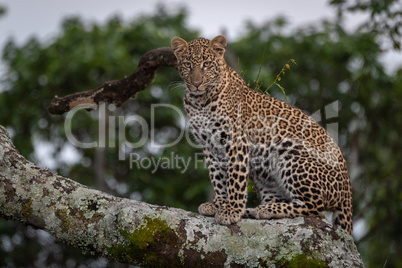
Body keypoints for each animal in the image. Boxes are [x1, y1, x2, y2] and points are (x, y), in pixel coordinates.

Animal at [171, 35, 354, 234]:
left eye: (207, 64)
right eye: (187, 64)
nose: (196, 83)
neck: (200, 101)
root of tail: (347, 191)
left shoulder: (236, 141)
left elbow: (235, 179)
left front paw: (231, 210)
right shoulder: (210, 146)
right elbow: (218, 178)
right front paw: (219, 204)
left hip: (290, 153)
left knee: (314, 208)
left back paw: (265, 209)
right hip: (265, 175)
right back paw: (256, 210)